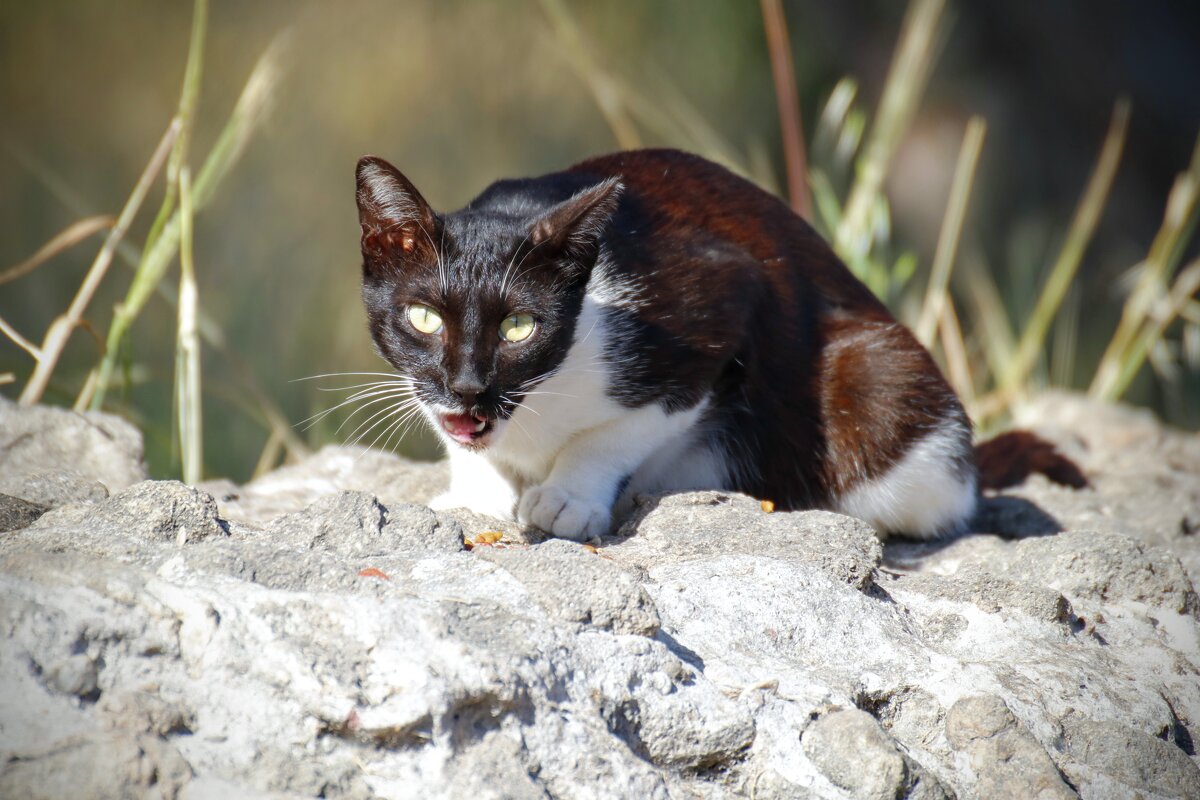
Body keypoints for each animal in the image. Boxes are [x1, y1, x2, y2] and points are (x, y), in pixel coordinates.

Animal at [350, 146, 1084, 542]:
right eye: (423, 318)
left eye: (518, 328)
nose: (469, 386)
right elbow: (456, 441)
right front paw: (474, 491)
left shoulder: (714, 304)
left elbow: (623, 428)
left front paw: (567, 498)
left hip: (875, 386)